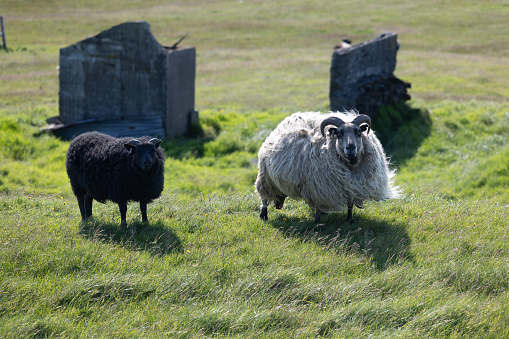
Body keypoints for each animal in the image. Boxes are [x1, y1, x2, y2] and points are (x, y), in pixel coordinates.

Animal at [254, 110, 400, 224]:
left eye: (358, 132)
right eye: (339, 133)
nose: (350, 147)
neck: (351, 163)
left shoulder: (350, 186)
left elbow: (350, 204)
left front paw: (350, 219)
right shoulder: (318, 187)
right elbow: (319, 206)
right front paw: (317, 222)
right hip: (265, 177)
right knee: (264, 197)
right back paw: (263, 215)